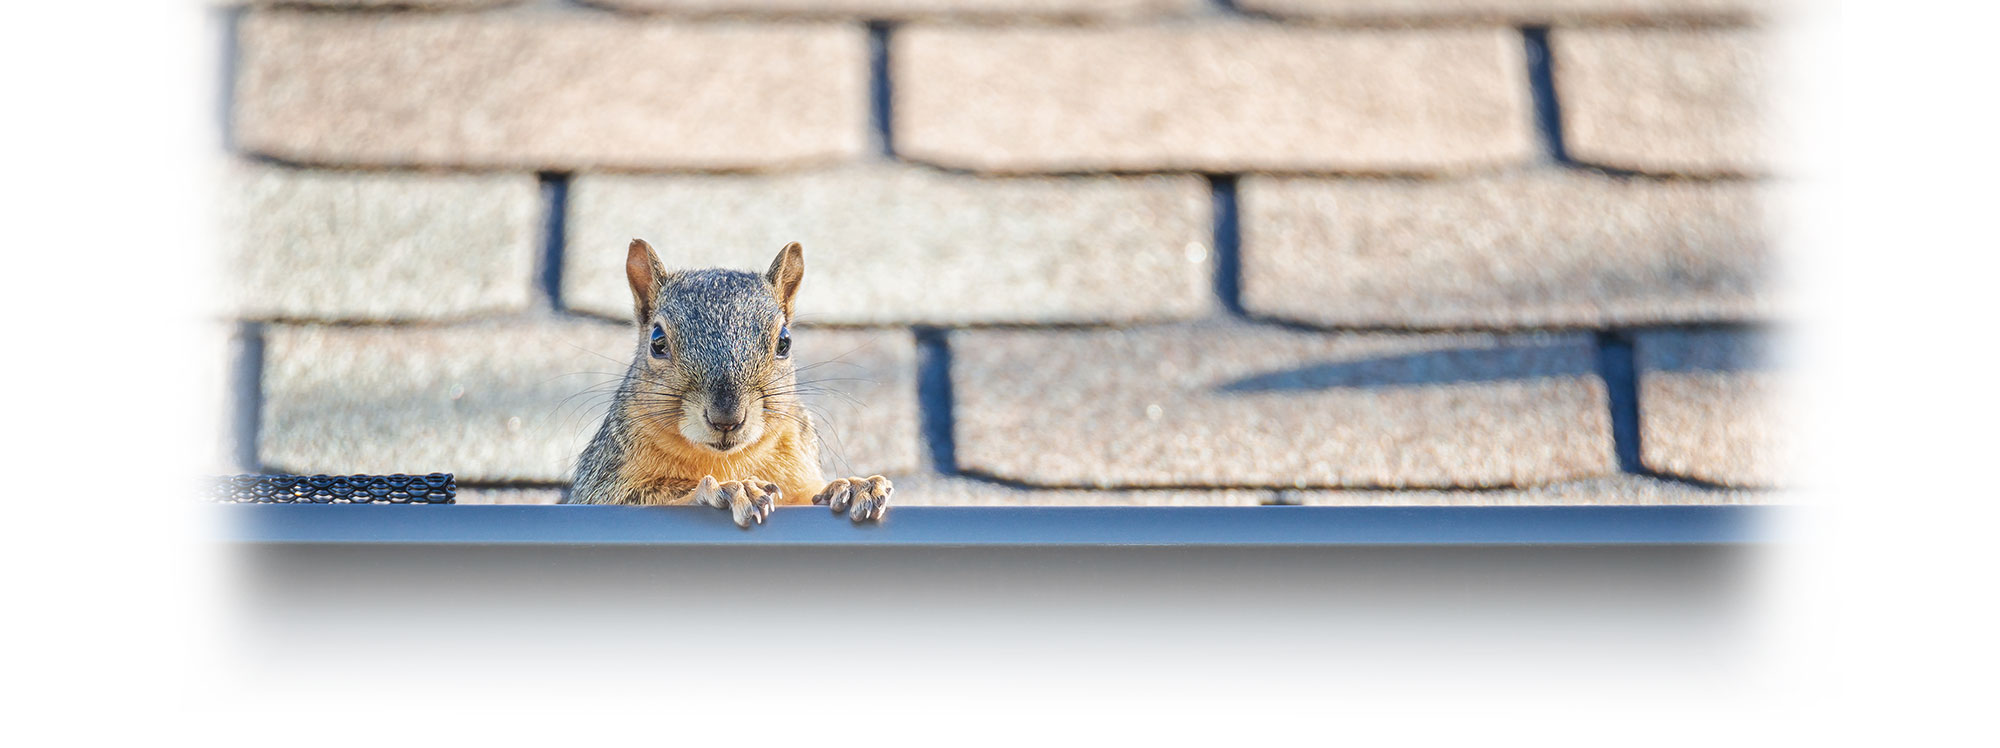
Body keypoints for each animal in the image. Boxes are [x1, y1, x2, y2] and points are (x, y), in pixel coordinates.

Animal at [572, 240, 900, 524]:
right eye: (657, 341)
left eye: (784, 342)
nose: (726, 419)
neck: (725, 459)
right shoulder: (602, 484)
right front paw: (728, 489)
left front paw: (853, 486)